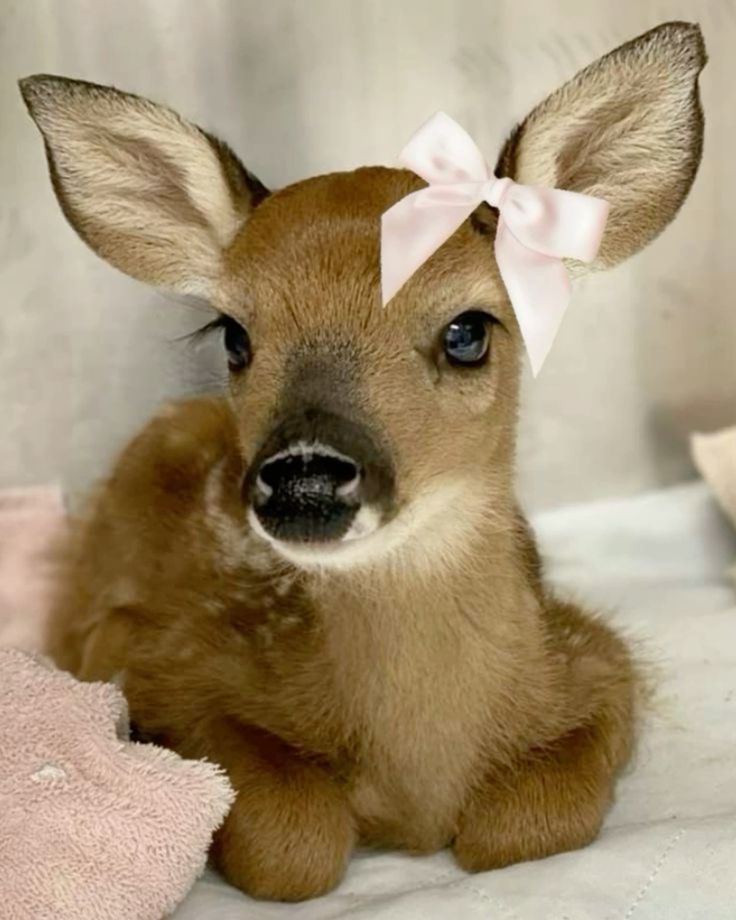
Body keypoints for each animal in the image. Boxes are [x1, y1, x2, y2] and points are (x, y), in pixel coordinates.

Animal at [19, 21, 705, 902]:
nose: (305, 476)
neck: (418, 772)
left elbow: (528, 826)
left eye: (468, 331)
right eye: (235, 336)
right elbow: (295, 844)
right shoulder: (161, 655)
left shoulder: (596, 657)